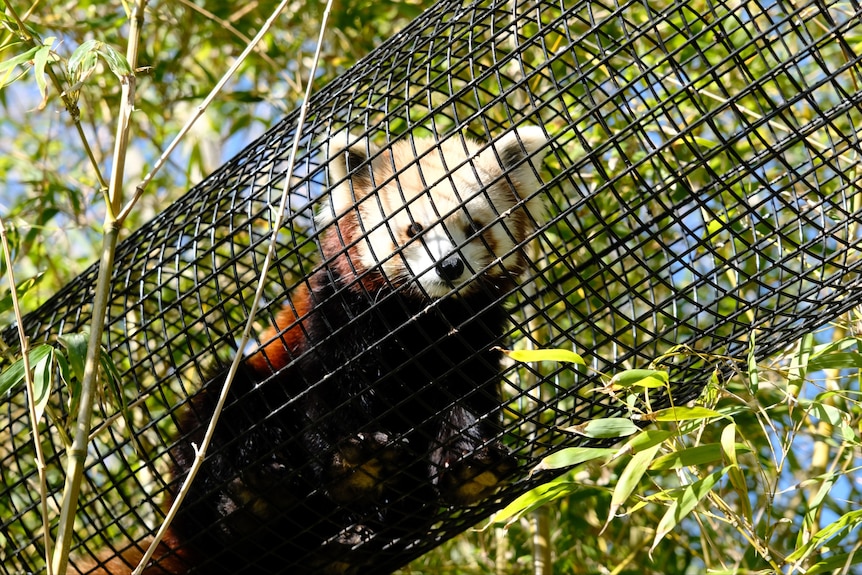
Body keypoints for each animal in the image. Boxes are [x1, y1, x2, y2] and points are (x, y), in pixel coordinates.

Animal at [72, 128, 548, 575]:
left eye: (476, 228)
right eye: (413, 229)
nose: (449, 267)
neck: (419, 321)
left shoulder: (473, 333)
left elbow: (468, 395)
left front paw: (469, 464)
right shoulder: (339, 317)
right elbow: (333, 393)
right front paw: (354, 461)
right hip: (238, 407)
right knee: (226, 424)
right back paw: (258, 507)